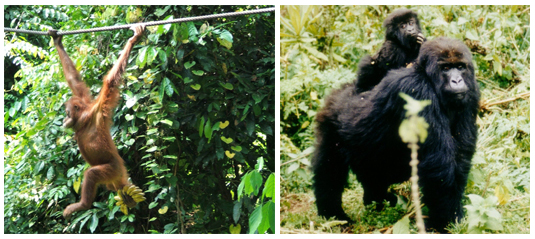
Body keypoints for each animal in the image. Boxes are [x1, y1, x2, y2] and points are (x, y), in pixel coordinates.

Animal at [312, 36, 480, 232]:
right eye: (445, 68)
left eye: (460, 67)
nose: (457, 81)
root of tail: (342, 91)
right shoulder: (417, 92)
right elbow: (440, 164)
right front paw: (444, 222)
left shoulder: (472, 92)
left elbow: (460, 156)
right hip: (331, 122)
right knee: (329, 168)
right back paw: (333, 215)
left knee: (372, 175)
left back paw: (376, 200)